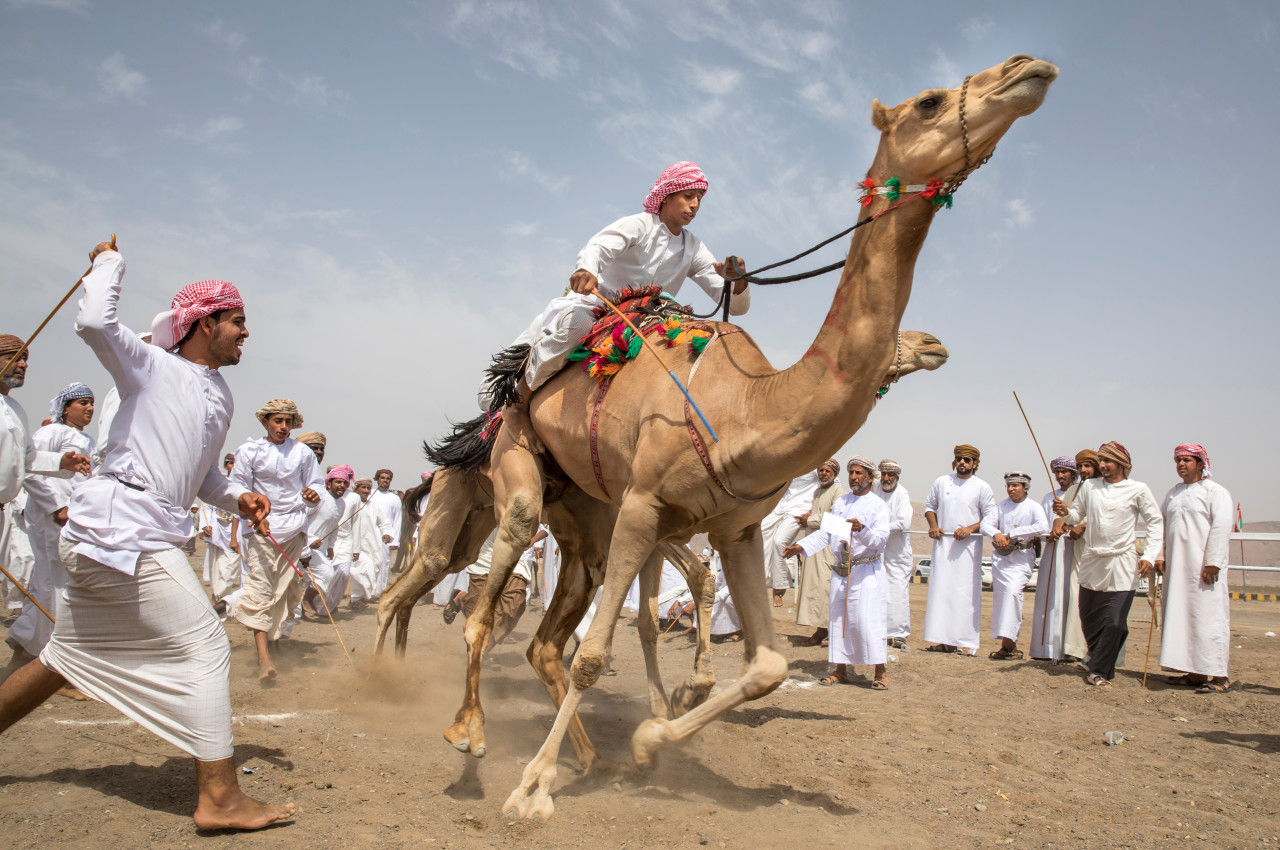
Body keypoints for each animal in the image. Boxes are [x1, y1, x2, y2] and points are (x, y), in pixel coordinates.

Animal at [476, 51, 1054, 819]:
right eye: (929, 101)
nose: (1027, 68)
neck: (745, 409)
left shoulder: (735, 527)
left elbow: (769, 664)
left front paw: (651, 740)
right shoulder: (645, 506)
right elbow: (598, 655)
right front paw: (531, 790)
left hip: (590, 509)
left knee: (570, 624)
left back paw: (597, 746)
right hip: (527, 458)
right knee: (498, 572)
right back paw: (471, 732)